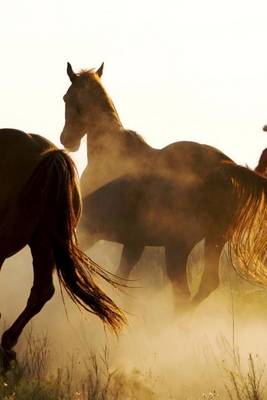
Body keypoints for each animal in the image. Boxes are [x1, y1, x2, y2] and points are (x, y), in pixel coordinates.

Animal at [60, 62, 267, 304]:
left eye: (66, 98)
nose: (67, 140)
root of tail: (224, 166)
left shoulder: (89, 230)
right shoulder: (134, 243)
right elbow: (122, 278)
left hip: (178, 247)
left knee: (184, 292)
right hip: (213, 239)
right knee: (205, 285)